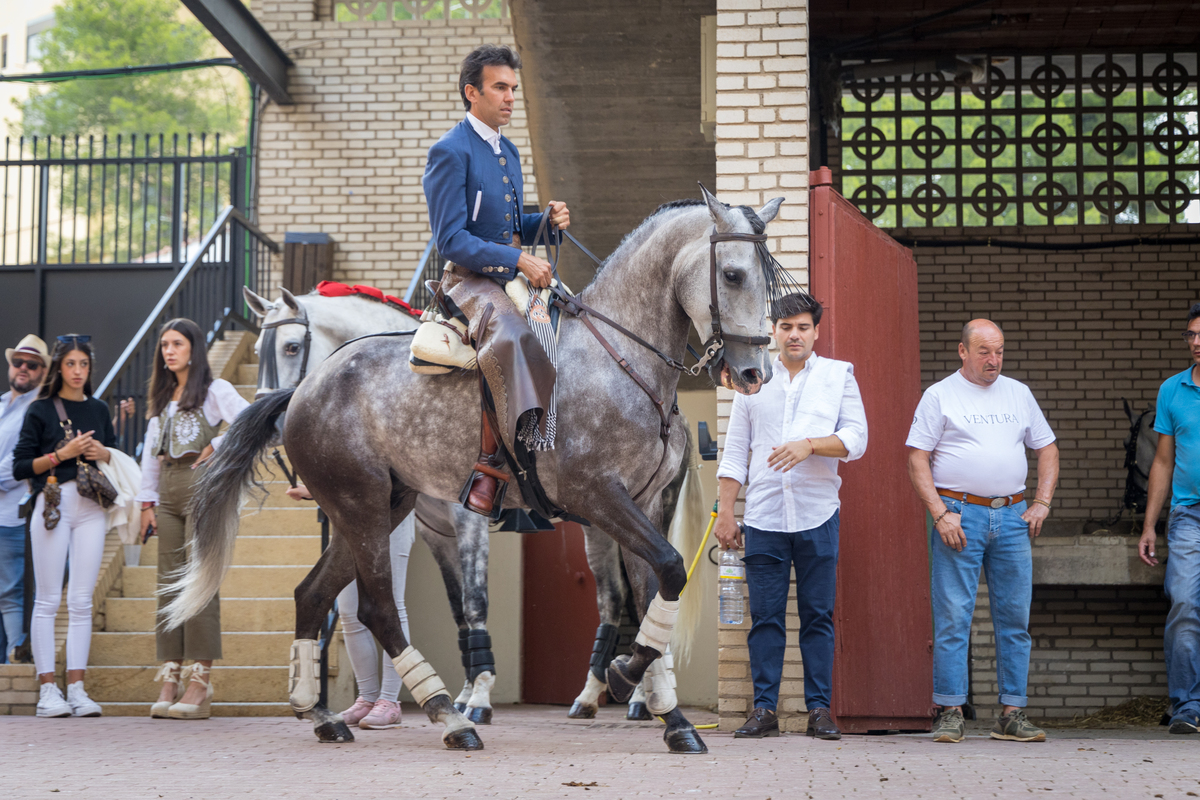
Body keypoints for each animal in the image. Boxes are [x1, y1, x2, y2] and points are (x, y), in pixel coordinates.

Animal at [166, 190, 777, 753]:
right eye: (732, 273)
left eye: (766, 279)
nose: (754, 373)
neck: (618, 359)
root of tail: (302, 394)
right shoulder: (592, 497)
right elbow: (655, 573)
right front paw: (621, 680)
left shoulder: (642, 504)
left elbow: (659, 586)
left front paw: (668, 714)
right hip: (363, 509)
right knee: (377, 609)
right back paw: (447, 716)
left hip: (377, 510)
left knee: (313, 596)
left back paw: (324, 715)